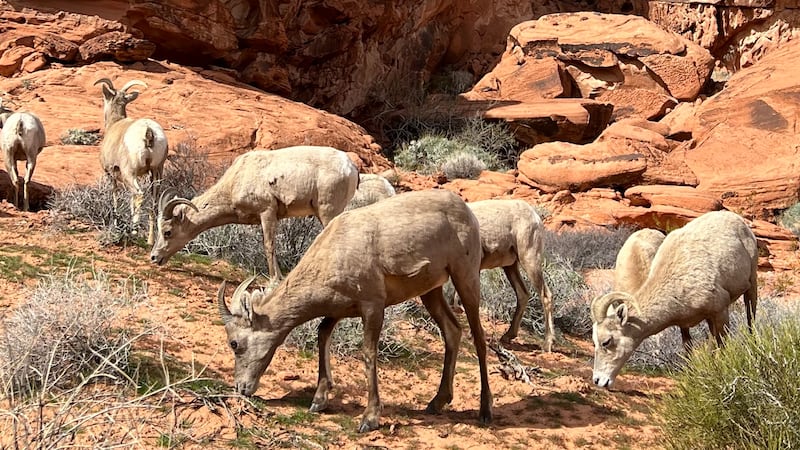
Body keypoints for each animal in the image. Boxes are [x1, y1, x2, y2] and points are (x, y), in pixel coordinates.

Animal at [94, 78, 167, 246]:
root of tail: (148, 131)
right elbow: (130, 200)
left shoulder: (112, 174)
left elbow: (115, 197)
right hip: (156, 173)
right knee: (153, 203)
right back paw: (150, 240)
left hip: (130, 173)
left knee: (139, 194)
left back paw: (134, 231)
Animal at [149, 146, 360, 278]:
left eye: (168, 232)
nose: (153, 258)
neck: (234, 182)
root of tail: (351, 168)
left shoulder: (267, 212)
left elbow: (268, 245)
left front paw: (275, 280)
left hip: (328, 211)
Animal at [219, 189, 494, 432]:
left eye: (234, 343)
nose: (241, 388)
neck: (335, 248)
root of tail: (466, 210)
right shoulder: (340, 308)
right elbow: (322, 334)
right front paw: (319, 401)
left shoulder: (372, 306)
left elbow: (368, 353)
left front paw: (369, 419)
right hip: (431, 291)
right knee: (453, 331)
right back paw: (437, 402)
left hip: (465, 276)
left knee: (479, 338)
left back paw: (485, 411)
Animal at [446, 200, 552, 352]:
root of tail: (535, 216)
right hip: (511, 266)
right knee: (523, 294)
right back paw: (508, 336)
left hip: (529, 259)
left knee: (545, 295)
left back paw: (547, 344)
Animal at [592, 209, 756, 388]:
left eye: (606, 341)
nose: (598, 380)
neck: (676, 282)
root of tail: (733, 217)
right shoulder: (686, 325)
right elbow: (689, 348)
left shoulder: (720, 311)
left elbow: (721, 344)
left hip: (752, 284)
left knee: (751, 317)